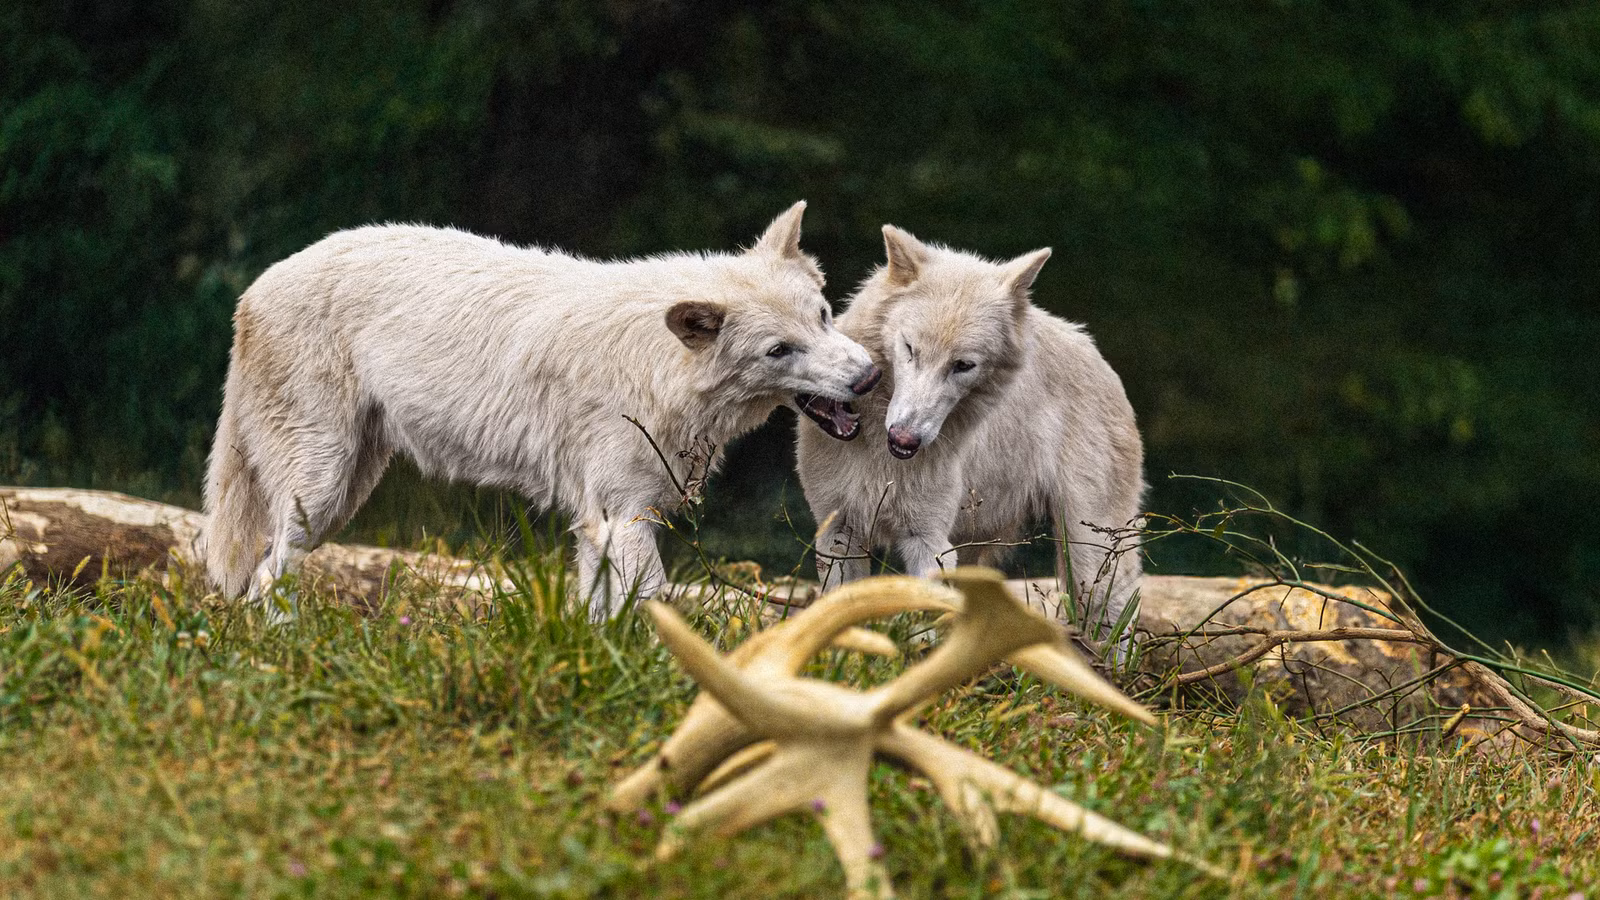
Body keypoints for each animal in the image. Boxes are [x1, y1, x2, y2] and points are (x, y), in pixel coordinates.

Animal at [203, 202, 881, 618]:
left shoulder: (602, 525)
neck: (658, 368)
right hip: (319, 490)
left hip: (344, 495)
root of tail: (254, 289)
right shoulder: (622, 519)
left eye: (824, 316)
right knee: (266, 577)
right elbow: (655, 607)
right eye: (779, 350)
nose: (870, 376)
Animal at [796, 225, 1145, 651]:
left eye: (963, 365)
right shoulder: (837, 532)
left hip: (1090, 555)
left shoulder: (928, 541)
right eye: (910, 349)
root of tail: (1098, 355)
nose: (905, 439)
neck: (881, 452)